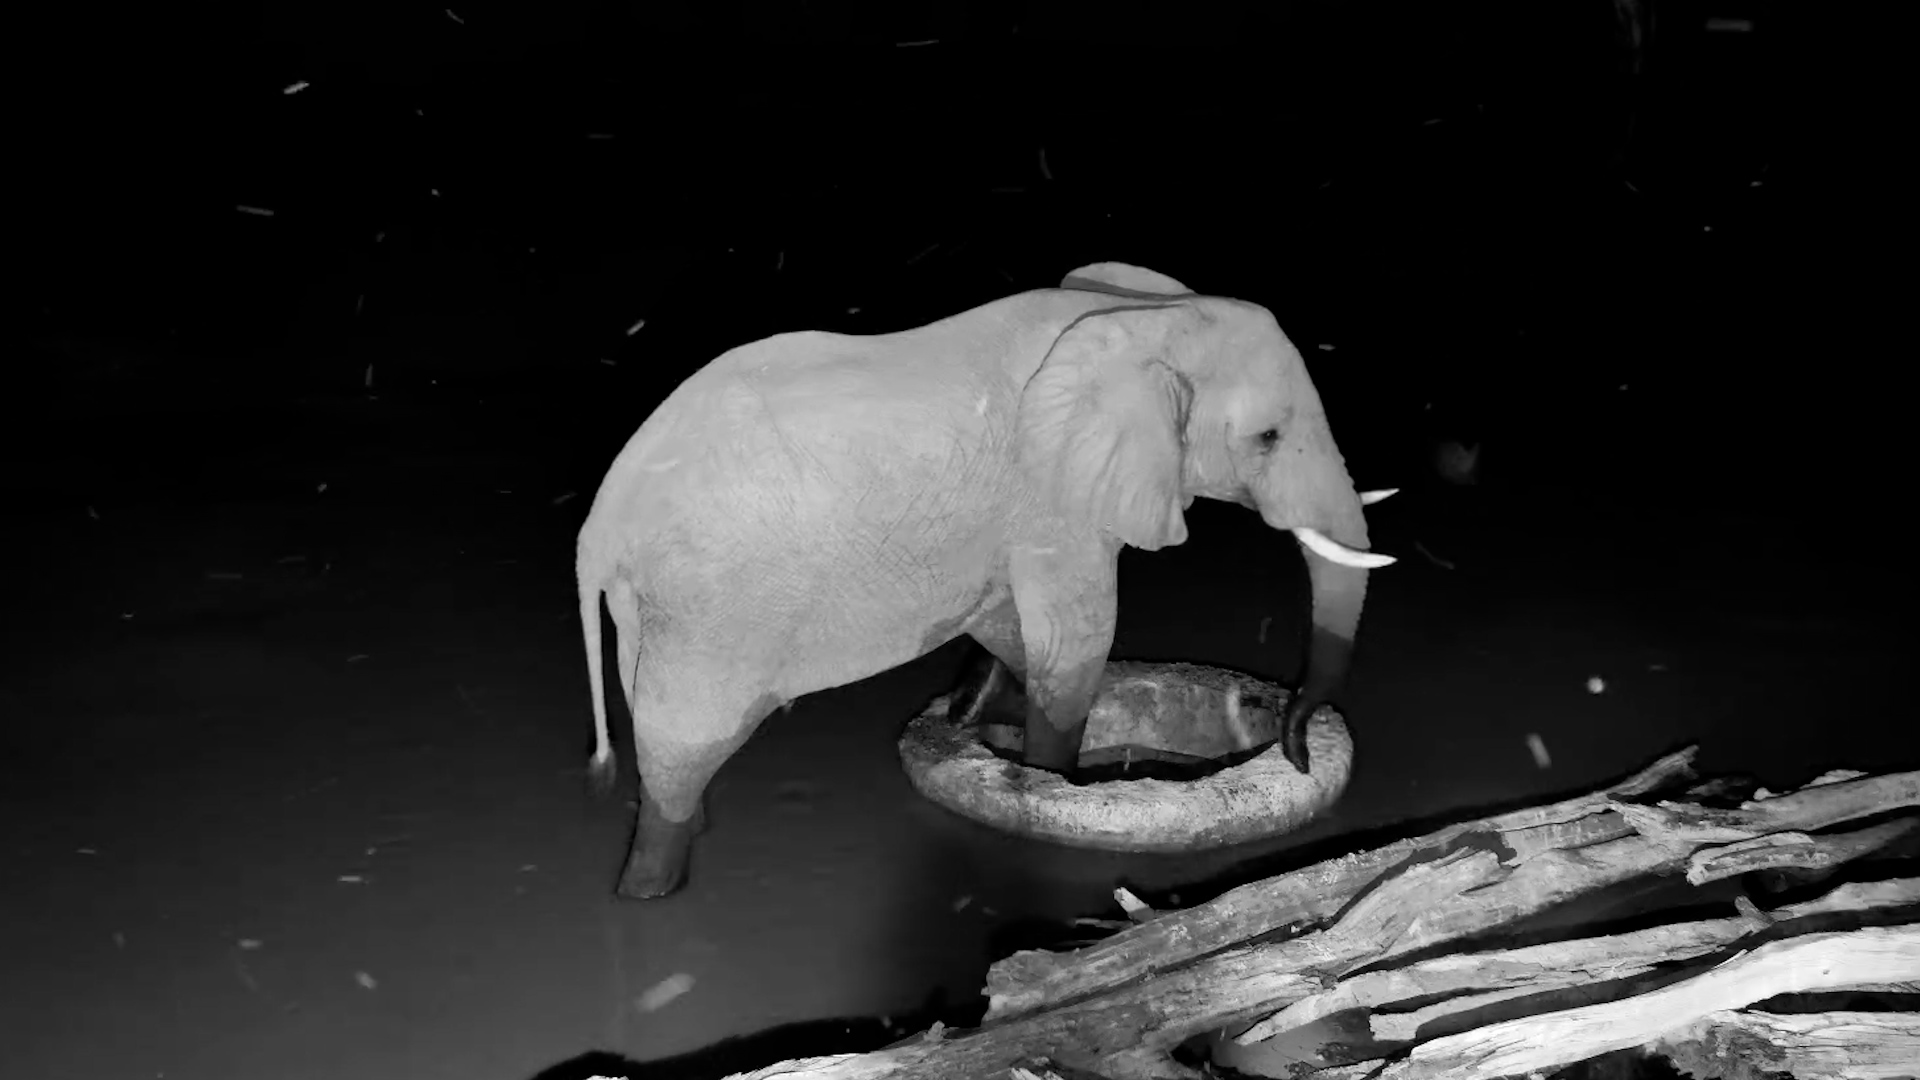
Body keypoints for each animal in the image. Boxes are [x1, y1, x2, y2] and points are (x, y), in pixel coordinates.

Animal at [575, 263, 1396, 899]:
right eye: (1268, 438)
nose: (1295, 747)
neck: (1147, 320)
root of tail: (598, 530)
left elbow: (1014, 627)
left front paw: (977, 714)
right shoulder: (1056, 498)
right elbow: (1076, 646)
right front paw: (1052, 778)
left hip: (655, 611)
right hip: (710, 616)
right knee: (685, 740)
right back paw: (651, 887)